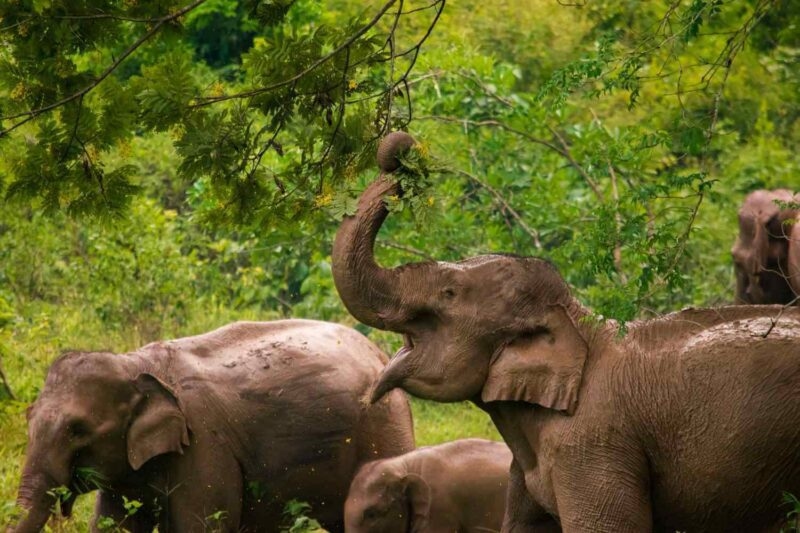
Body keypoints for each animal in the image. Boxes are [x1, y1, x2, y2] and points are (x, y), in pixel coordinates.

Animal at [10, 319, 415, 533]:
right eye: (28, 417)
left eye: (77, 430)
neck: (136, 364)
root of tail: (381, 353)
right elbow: (113, 525)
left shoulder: (205, 444)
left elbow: (201, 525)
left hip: (383, 430)